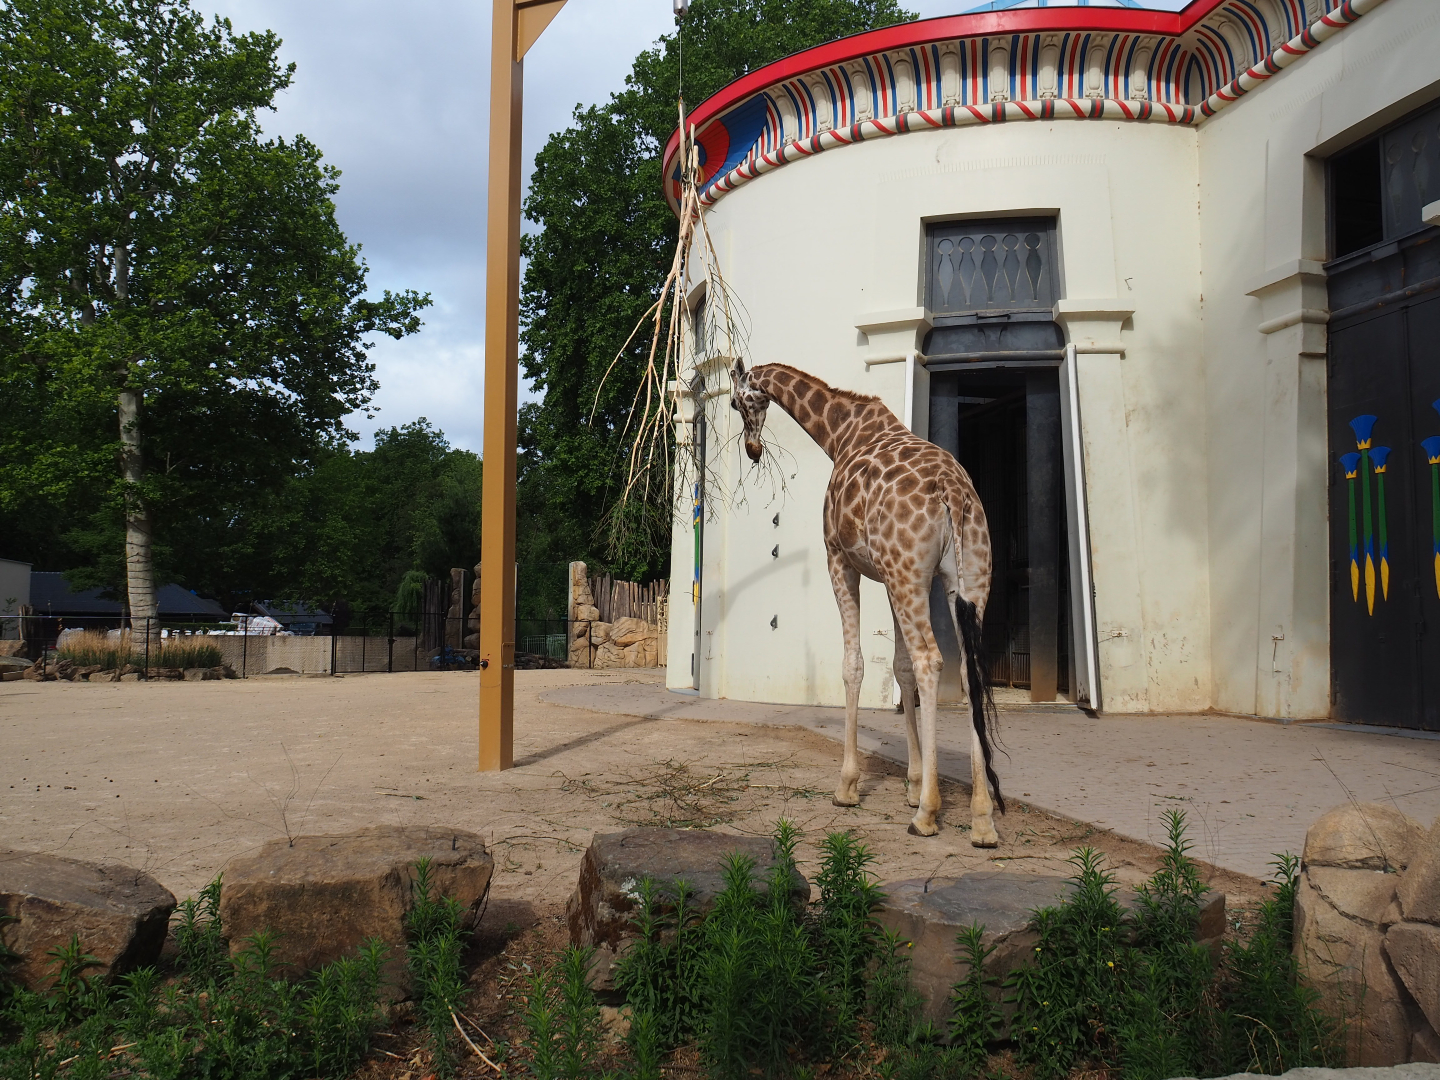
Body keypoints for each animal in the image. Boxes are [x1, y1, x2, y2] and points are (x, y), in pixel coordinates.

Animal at [728, 360, 1004, 842]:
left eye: (733, 402)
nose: (752, 449)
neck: (839, 432)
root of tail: (953, 492)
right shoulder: (894, 579)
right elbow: (900, 667)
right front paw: (912, 783)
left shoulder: (840, 560)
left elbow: (854, 664)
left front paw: (848, 785)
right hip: (966, 578)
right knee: (967, 672)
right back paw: (982, 819)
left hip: (910, 573)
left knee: (932, 660)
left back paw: (928, 815)